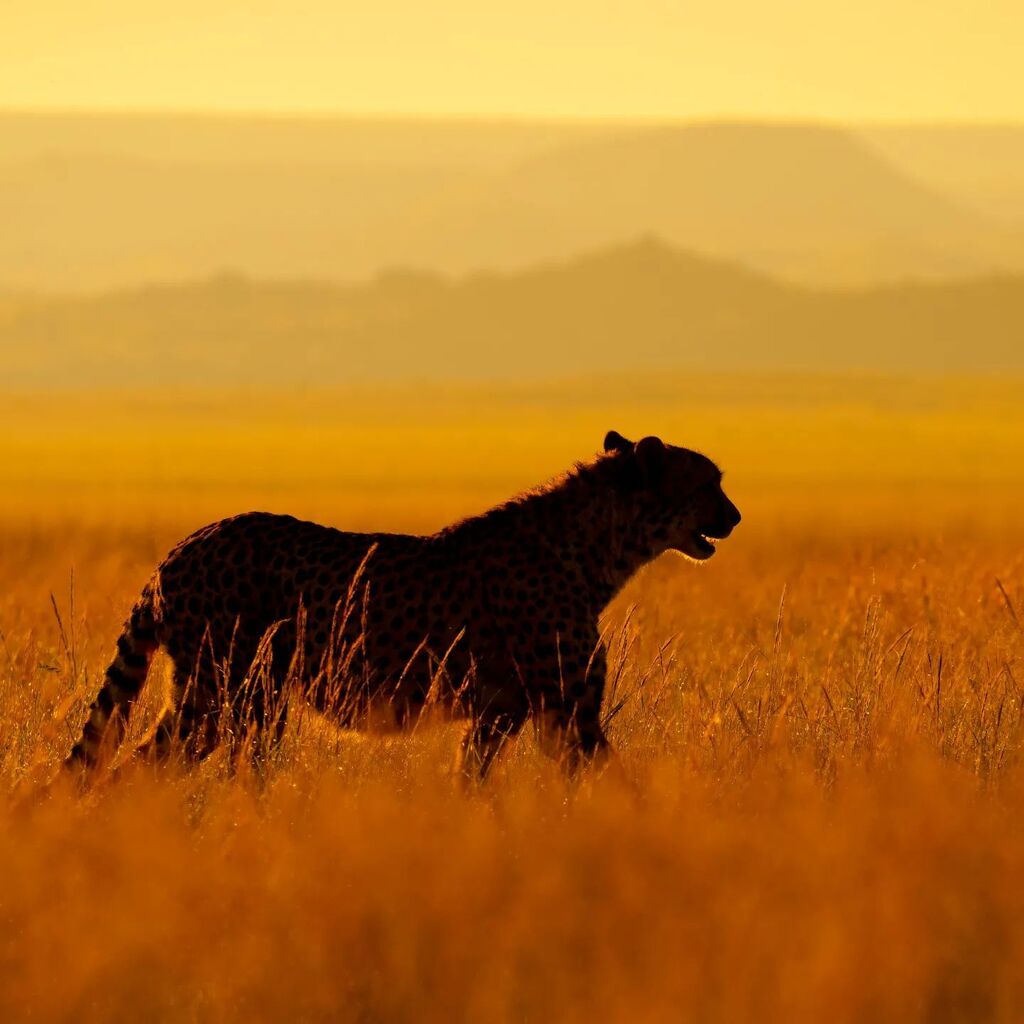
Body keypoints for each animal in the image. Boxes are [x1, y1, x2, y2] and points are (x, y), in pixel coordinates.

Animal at [62, 431, 740, 780]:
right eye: (708, 482)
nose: (734, 517)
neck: (600, 547)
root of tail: (183, 546)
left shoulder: (502, 713)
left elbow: (472, 780)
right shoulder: (567, 713)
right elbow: (614, 782)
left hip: (220, 695)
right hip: (231, 693)